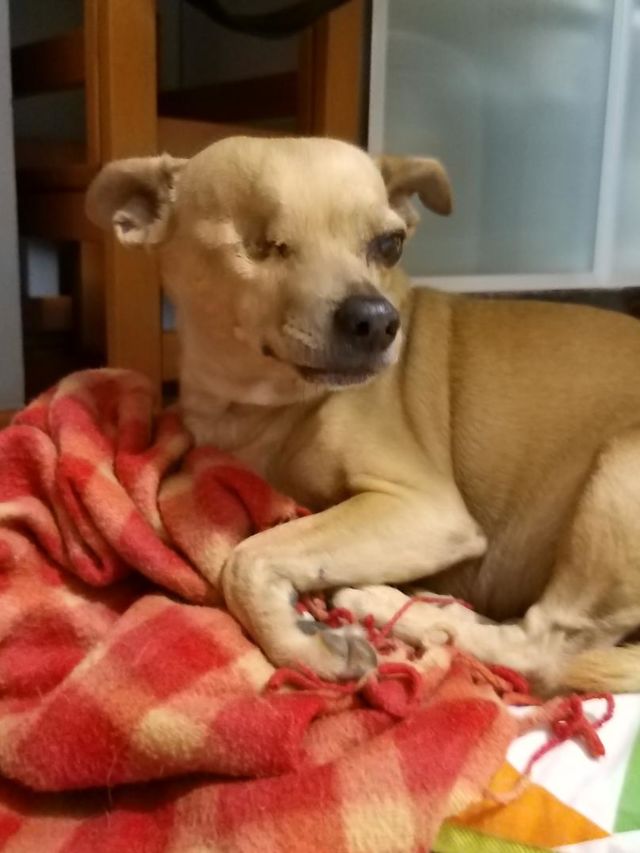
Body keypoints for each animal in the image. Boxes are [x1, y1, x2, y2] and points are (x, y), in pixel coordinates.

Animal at [87, 136, 640, 695]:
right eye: (259, 243)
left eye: (389, 245)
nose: (376, 321)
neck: (259, 406)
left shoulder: (424, 509)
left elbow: (248, 555)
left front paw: (304, 646)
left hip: (620, 472)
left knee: (545, 651)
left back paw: (390, 603)